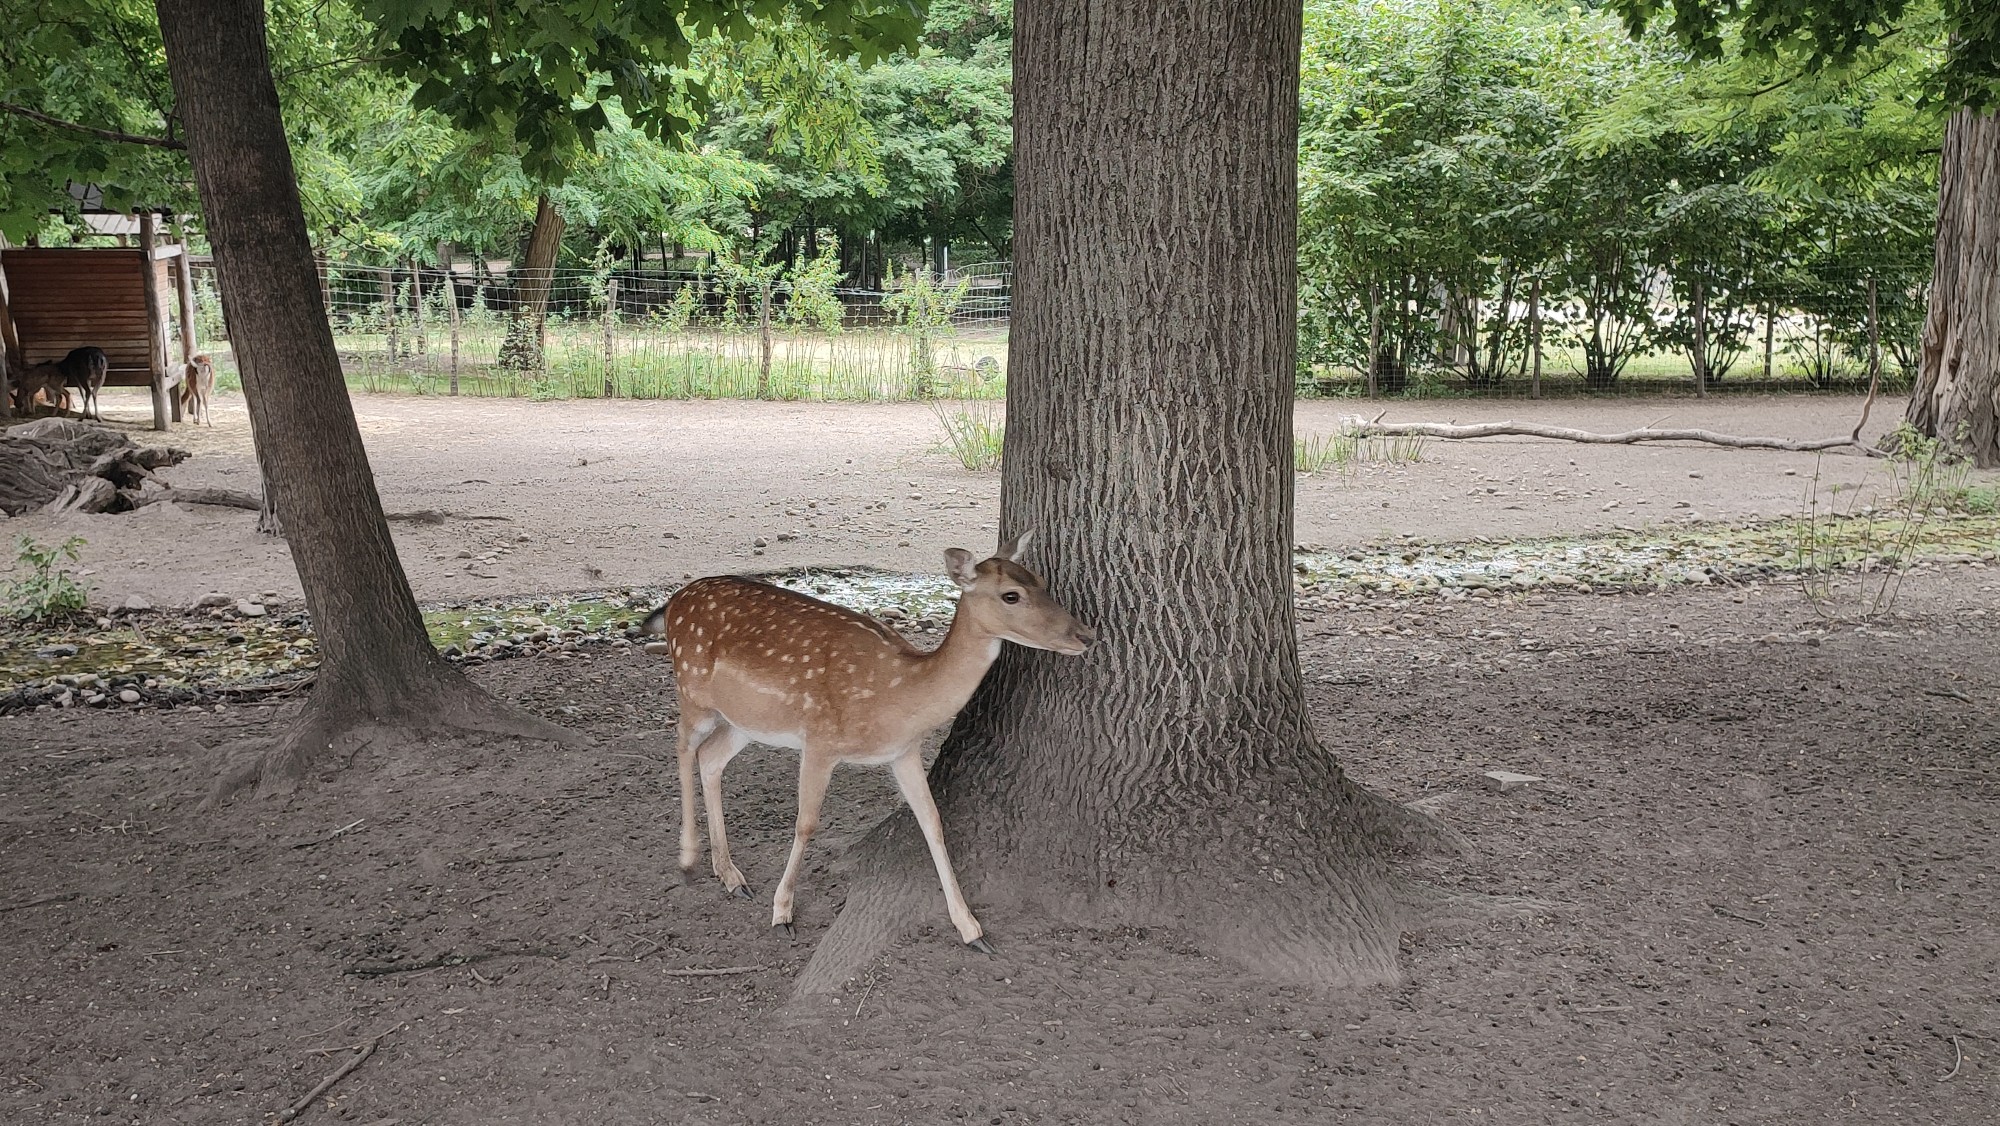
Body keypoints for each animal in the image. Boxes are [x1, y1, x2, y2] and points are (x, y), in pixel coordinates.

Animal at [648, 536, 1096, 952]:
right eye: (1011, 595)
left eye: (1041, 581)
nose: (1086, 635)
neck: (896, 696)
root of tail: (674, 602)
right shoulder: (821, 740)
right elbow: (806, 823)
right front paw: (782, 911)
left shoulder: (904, 752)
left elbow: (932, 821)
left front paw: (971, 929)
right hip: (692, 691)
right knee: (683, 745)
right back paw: (688, 862)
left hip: (744, 720)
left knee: (711, 758)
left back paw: (730, 875)